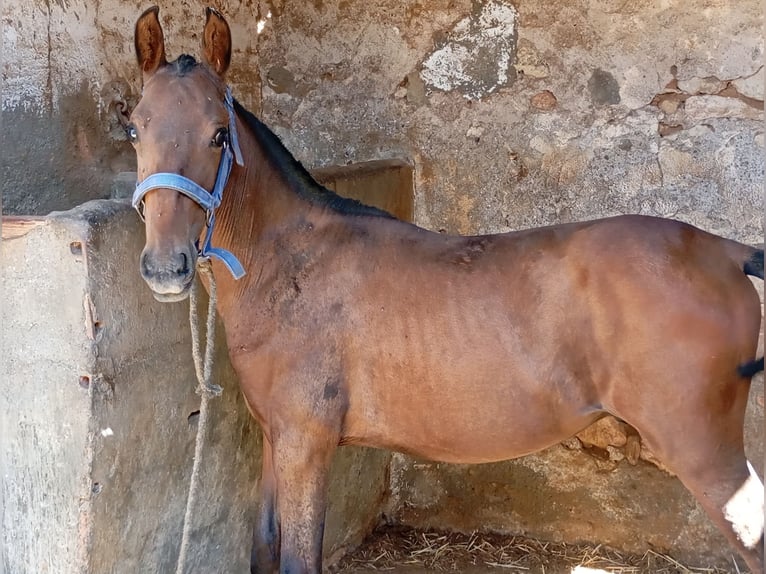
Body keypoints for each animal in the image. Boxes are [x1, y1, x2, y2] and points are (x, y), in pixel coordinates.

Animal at [129, 5, 764, 574]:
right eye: (134, 127)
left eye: (218, 134)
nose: (165, 267)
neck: (292, 262)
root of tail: (728, 253)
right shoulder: (276, 438)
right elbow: (262, 549)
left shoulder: (306, 444)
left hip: (704, 453)